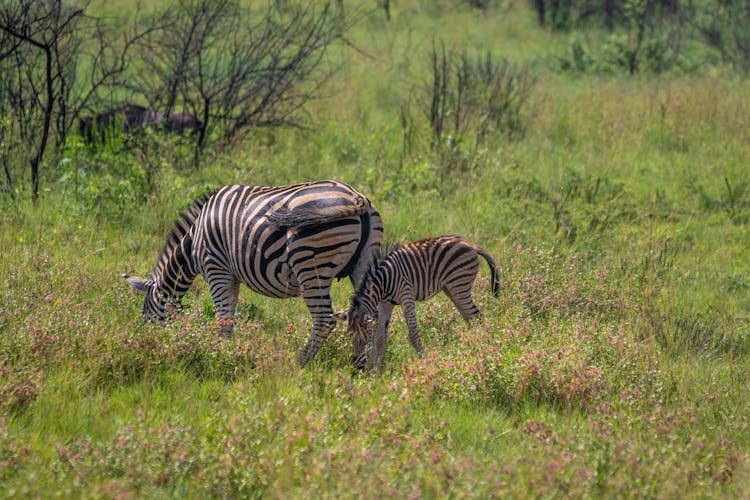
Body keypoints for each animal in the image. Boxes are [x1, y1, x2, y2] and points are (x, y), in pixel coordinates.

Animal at [125, 180, 384, 368]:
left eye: (145, 314)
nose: (151, 347)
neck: (193, 241)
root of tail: (357, 198)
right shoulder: (232, 276)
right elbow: (230, 316)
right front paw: (227, 352)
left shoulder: (216, 269)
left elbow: (223, 318)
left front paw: (219, 355)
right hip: (364, 264)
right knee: (371, 316)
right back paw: (370, 367)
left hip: (311, 264)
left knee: (324, 320)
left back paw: (298, 364)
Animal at [338, 235, 502, 372]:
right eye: (349, 336)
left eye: (363, 338)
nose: (358, 367)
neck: (382, 282)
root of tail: (470, 245)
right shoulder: (385, 304)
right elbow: (380, 338)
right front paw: (377, 371)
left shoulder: (406, 296)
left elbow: (413, 334)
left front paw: (424, 363)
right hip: (452, 289)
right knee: (471, 319)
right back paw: (472, 348)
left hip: (459, 286)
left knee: (477, 317)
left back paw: (480, 348)